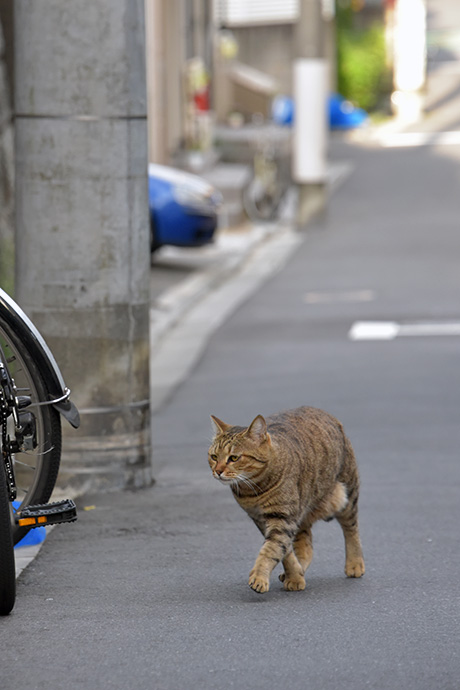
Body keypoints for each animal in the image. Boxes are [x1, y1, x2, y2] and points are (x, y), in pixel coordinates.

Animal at [209, 404, 366, 592]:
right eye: (214, 457)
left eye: (234, 458)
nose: (218, 471)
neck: (253, 490)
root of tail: (320, 410)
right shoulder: (262, 519)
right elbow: (284, 551)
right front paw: (295, 575)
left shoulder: (282, 517)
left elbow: (271, 549)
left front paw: (260, 577)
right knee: (306, 546)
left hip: (346, 492)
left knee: (351, 528)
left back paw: (355, 564)